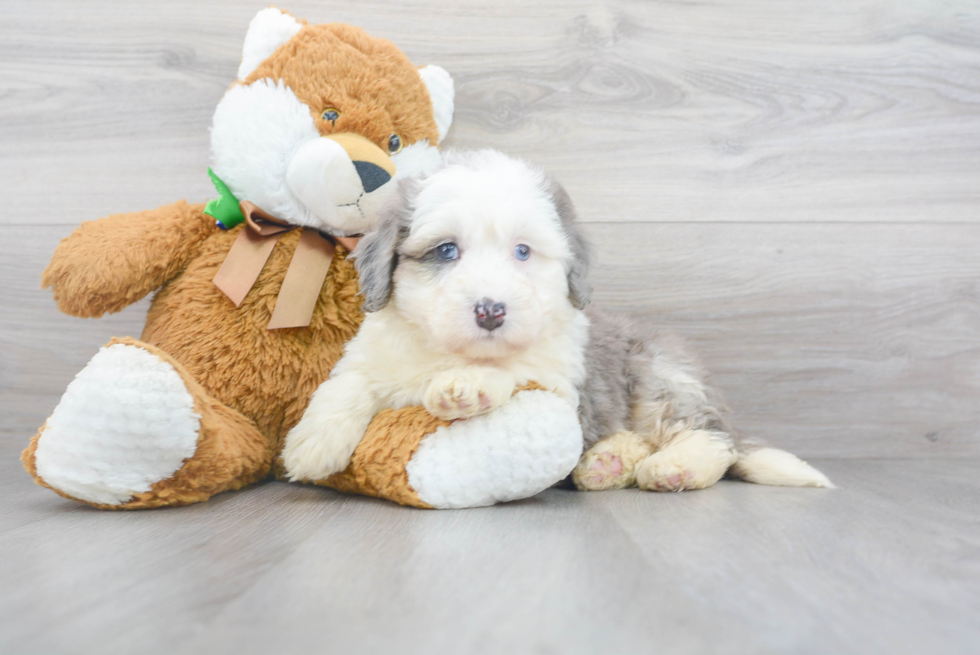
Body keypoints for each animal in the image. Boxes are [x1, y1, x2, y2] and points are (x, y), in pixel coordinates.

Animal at [280, 149, 832, 492]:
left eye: (523, 251)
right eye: (447, 251)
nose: (491, 310)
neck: (449, 351)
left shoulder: (559, 380)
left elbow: (514, 367)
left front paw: (467, 385)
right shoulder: (373, 353)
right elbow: (345, 384)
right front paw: (312, 446)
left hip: (660, 374)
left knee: (708, 437)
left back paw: (674, 466)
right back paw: (608, 463)